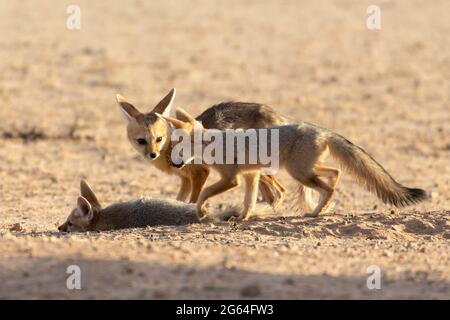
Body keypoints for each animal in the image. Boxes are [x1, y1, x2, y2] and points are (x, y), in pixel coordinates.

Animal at [115, 89, 288, 209]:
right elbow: (179, 200)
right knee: (272, 195)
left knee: (281, 191)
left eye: (159, 139)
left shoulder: (200, 173)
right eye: (141, 141)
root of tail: (278, 117)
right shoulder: (185, 179)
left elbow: (193, 200)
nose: (152, 154)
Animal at [161, 107, 426, 220]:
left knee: (328, 187)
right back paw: (323, 205)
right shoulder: (251, 176)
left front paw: (201, 211)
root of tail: (323, 130)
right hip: (304, 170)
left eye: (178, 149)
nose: (173, 164)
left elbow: (204, 193)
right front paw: (243, 217)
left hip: (299, 172)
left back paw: (317, 211)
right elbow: (249, 200)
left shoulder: (232, 178)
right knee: (336, 172)